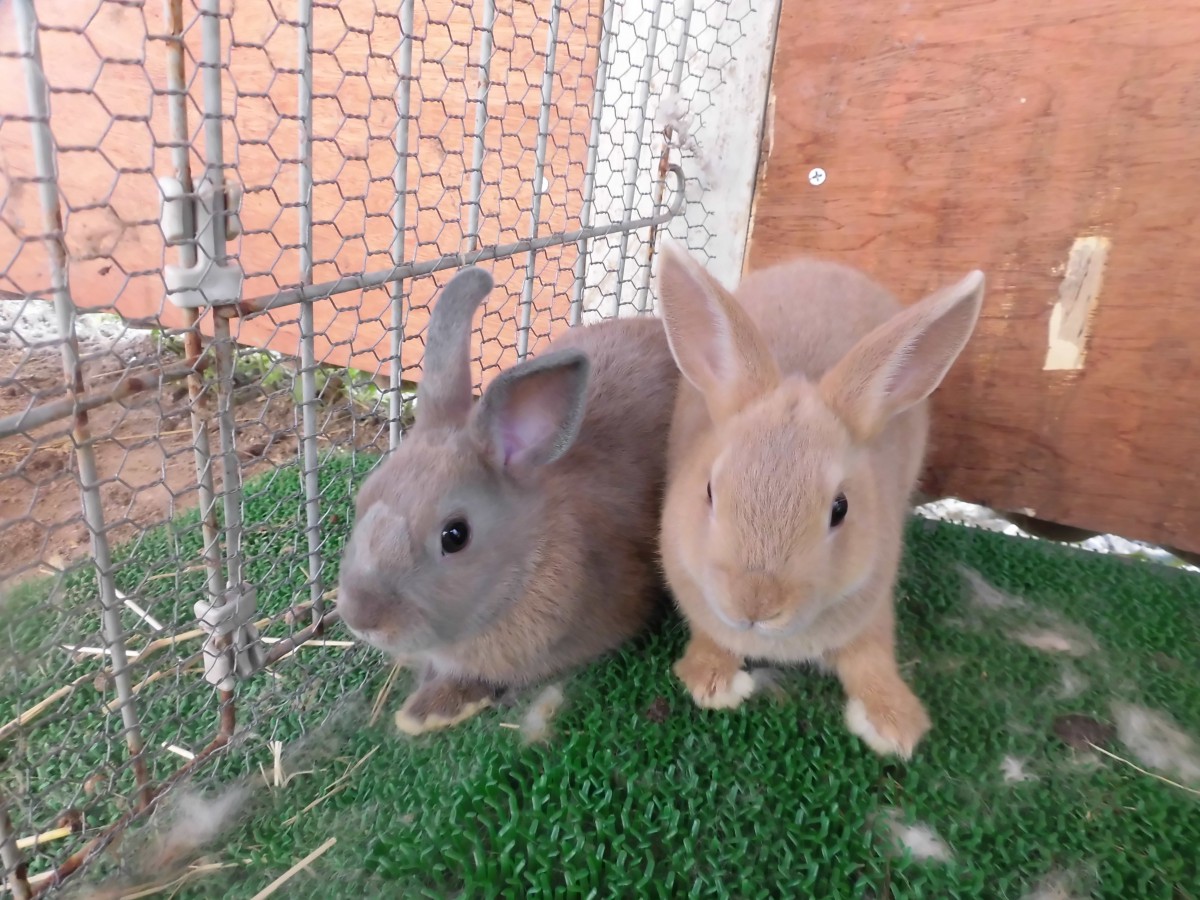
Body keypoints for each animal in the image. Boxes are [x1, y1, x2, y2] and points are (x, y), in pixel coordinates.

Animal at [657, 243, 984, 758]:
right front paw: (710, 681)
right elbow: (712, 637)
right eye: (709, 491)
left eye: (840, 509)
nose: (756, 605)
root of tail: (822, 264)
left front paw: (895, 725)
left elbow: (872, 659)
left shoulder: (871, 606)